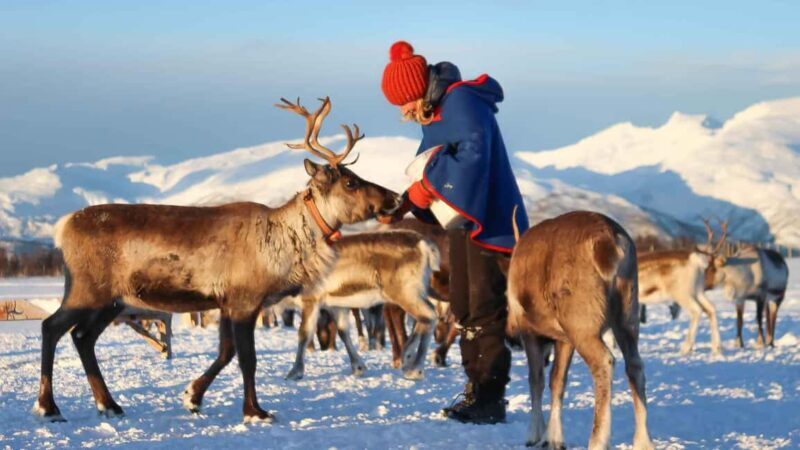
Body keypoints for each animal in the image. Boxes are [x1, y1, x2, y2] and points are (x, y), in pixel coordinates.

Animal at [34, 96, 401, 424]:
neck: (285, 240)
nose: (395, 197)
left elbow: (225, 353)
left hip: (113, 301)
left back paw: (109, 405)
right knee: (52, 327)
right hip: (87, 290)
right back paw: (49, 407)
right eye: (351, 182)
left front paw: (192, 397)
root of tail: (62, 227)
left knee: (82, 337)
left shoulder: (225, 302)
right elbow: (247, 359)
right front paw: (255, 412)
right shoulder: (245, 300)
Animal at [283, 228, 440, 381]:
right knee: (424, 317)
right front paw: (358, 367)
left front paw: (294, 372)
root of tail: (424, 245)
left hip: (404, 292)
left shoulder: (311, 299)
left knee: (429, 315)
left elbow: (304, 333)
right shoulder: (335, 305)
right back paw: (407, 355)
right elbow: (343, 331)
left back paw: (415, 369)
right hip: (416, 292)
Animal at [507, 210, 653, 450]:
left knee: (604, 361)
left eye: (506, 301)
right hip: (627, 313)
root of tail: (610, 241)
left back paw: (598, 440)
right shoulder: (564, 338)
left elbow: (536, 379)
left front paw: (535, 434)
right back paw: (643, 440)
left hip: (582, 324)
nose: (511, 339)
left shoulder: (531, 331)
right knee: (635, 365)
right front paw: (553, 438)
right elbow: (557, 381)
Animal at [635, 219, 726, 356]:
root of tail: (696, 261)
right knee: (711, 308)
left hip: (682, 293)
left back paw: (686, 348)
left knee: (696, 310)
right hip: (697, 290)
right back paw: (716, 348)